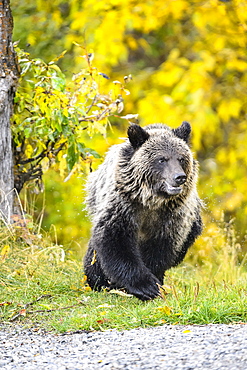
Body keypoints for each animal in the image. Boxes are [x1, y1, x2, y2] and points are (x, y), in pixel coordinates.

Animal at [84, 121, 202, 300]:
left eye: (181, 158)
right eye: (162, 159)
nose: (179, 177)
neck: (151, 201)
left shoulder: (171, 217)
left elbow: (160, 251)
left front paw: (154, 283)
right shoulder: (123, 206)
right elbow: (115, 242)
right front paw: (144, 286)